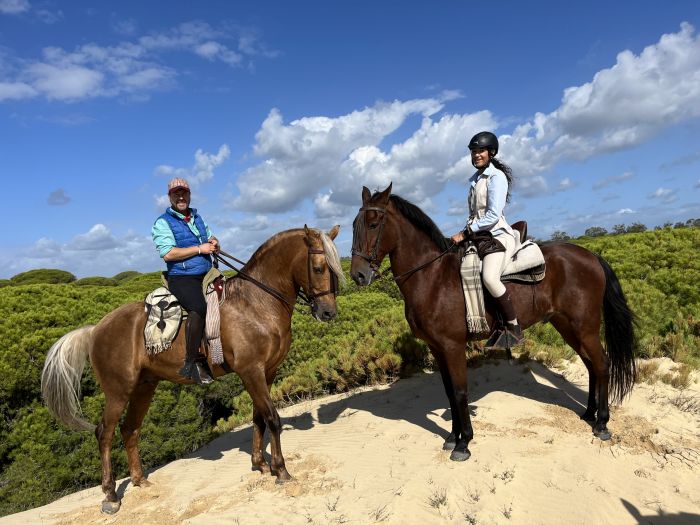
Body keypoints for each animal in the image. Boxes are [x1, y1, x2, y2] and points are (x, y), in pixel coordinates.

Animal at [41, 225, 344, 512]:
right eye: (318, 268)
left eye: (334, 269)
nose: (328, 313)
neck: (256, 303)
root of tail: (95, 329)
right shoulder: (251, 371)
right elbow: (272, 418)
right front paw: (280, 470)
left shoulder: (266, 372)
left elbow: (259, 417)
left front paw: (260, 464)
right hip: (119, 390)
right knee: (104, 433)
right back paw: (111, 495)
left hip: (144, 387)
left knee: (130, 430)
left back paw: (140, 481)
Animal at [352, 183, 636, 458]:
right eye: (355, 225)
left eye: (374, 224)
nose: (358, 275)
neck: (432, 277)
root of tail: (591, 256)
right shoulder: (437, 348)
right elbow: (449, 392)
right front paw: (452, 437)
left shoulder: (453, 347)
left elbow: (460, 392)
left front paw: (463, 443)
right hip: (568, 328)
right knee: (590, 365)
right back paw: (589, 414)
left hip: (585, 328)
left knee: (602, 365)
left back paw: (602, 423)